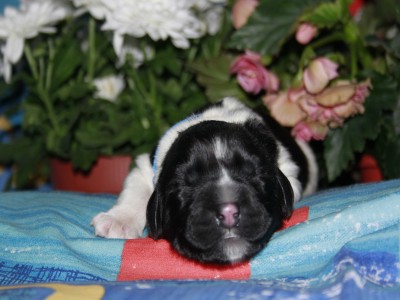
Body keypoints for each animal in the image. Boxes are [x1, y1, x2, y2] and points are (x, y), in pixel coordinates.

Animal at [91, 97, 318, 264]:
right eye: (185, 186)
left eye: (254, 175)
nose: (228, 212)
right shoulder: (146, 167)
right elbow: (136, 191)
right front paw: (118, 220)